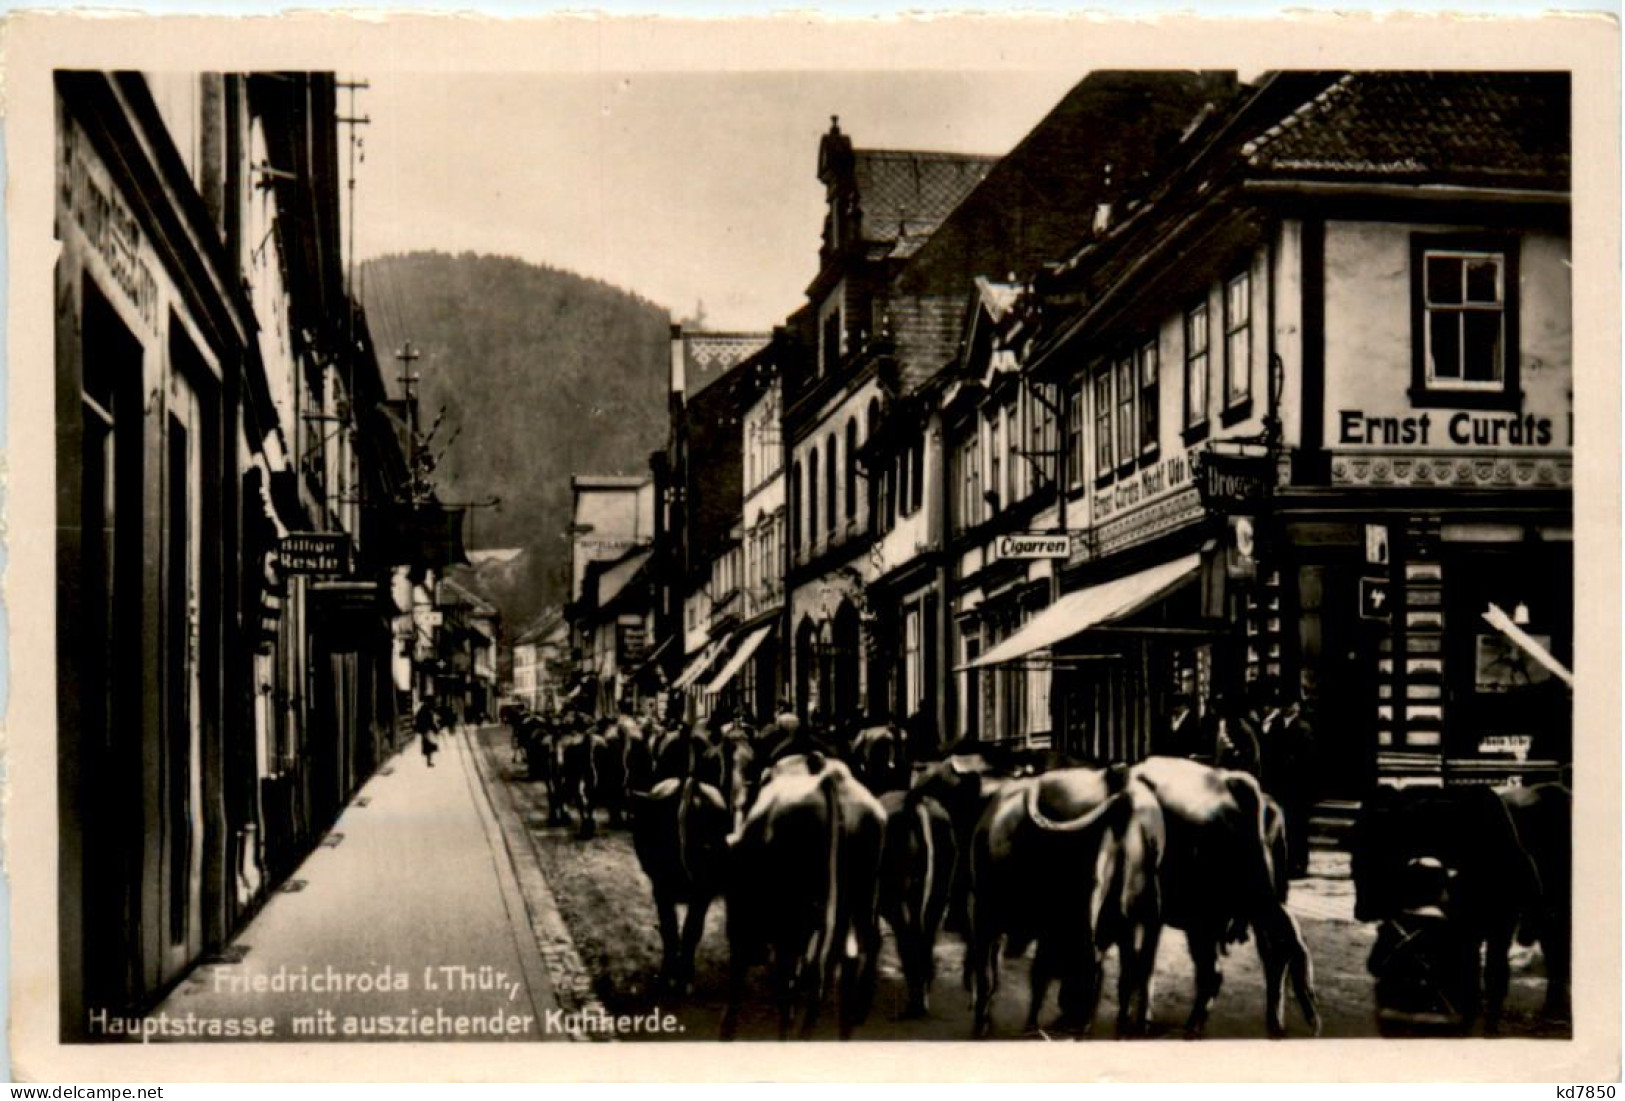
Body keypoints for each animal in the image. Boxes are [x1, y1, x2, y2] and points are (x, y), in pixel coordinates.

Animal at [627, 776, 731, 1000]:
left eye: (712, 832)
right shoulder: (661, 889)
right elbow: (670, 929)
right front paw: (669, 975)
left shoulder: (703, 894)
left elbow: (692, 930)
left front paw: (686, 976)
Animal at [718, 753, 884, 1039]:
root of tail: (830, 777)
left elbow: (743, 968)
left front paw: (727, 1029)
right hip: (859, 899)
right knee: (855, 955)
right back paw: (849, 1022)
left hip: (796, 918)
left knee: (801, 977)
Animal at [884, 789, 955, 1019]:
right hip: (939, 892)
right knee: (926, 938)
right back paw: (922, 996)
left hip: (899, 896)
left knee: (909, 938)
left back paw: (915, 1003)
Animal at [1131, 759, 1319, 1045]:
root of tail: (1235, 783)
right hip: (1253, 902)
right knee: (1275, 952)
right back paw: (1279, 1023)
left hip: (1209, 914)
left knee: (1219, 970)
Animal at [1352, 776, 1566, 1032]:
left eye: (1376, 843)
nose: (1361, 910)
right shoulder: (1462, 928)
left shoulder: (1500, 924)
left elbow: (1494, 975)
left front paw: (1490, 1027)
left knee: (1557, 955)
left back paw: (1555, 1009)